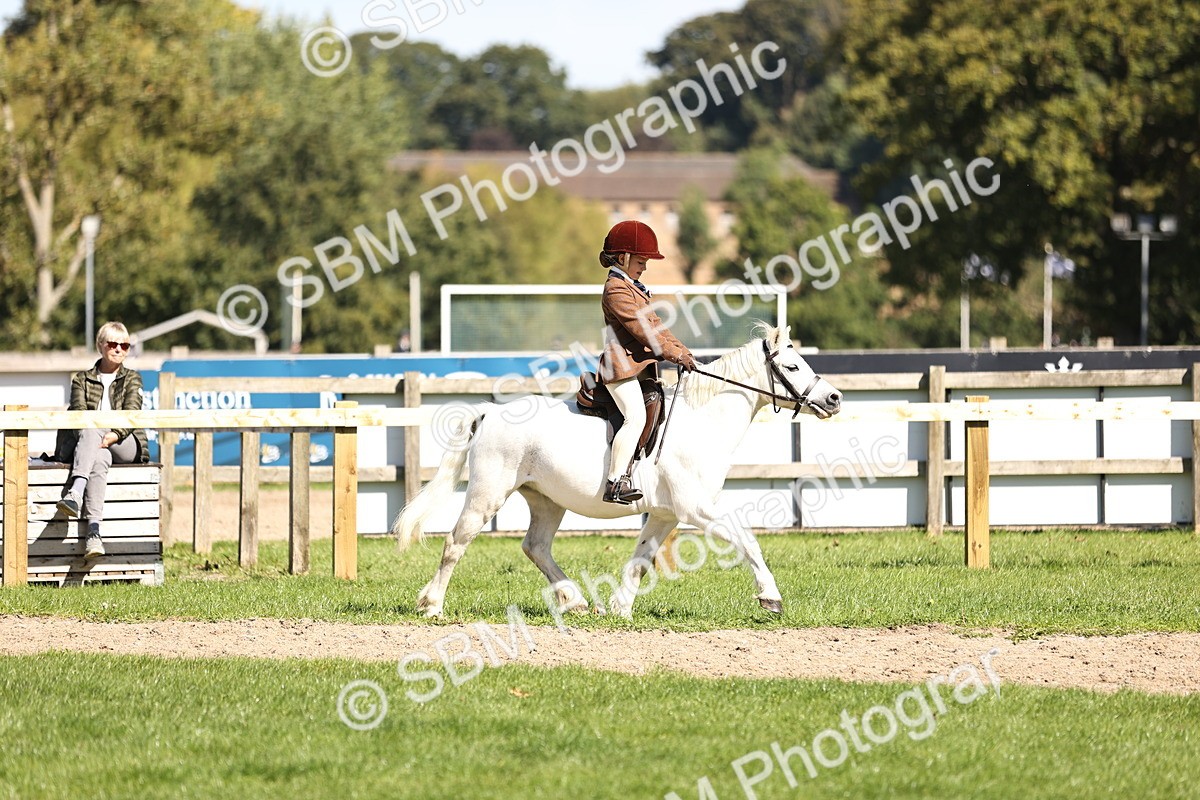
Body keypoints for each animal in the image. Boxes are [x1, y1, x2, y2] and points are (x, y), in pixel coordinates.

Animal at [392, 324, 842, 619]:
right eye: (794, 367)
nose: (834, 398)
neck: (701, 420)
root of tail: (489, 412)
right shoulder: (697, 508)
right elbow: (748, 541)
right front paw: (771, 597)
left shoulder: (665, 514)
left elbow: (641, 559)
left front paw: (619, 608)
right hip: (488, 494)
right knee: (456, 543)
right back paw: (432, 605)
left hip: (547, 500)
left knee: (535, 547)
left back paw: (574, 600)